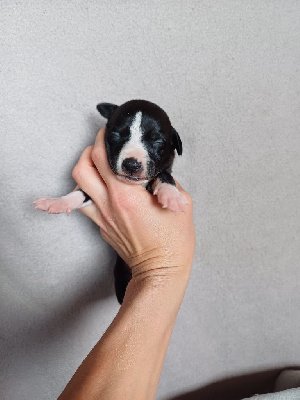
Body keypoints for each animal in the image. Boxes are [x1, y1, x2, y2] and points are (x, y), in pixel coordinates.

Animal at [33, 100, 188, 304]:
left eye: (157, 141)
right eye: (116, 135)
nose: (131, 164)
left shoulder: (163, 171)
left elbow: (164, 175)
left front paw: (172, 196)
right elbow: (79, 194)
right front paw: (56, 202)